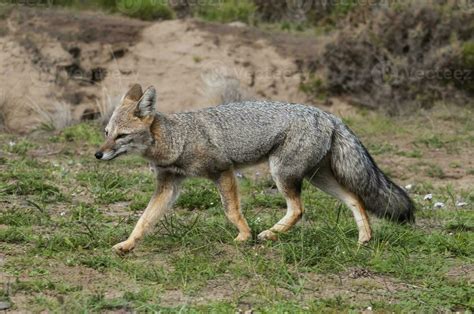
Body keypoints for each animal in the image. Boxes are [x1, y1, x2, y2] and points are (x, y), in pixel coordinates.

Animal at [96, 82, 414, 254]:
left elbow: (231, 210)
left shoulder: (223, 171)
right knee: (355, 198)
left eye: (121, 136)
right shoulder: (168, 185)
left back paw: (270, 234)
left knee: (299, 209)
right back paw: (364, 238)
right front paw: (127, 245)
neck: (178, 138)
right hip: (317, 178)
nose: (98, 154)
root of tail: (328, 114)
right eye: (106, 132)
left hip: (282, 173)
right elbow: (144, 220)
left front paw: (244, 236)